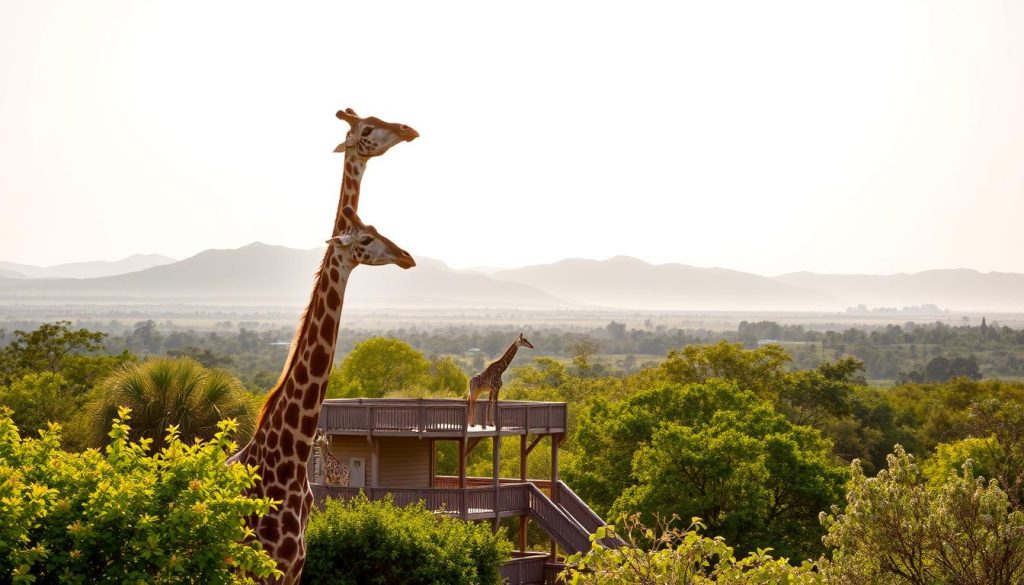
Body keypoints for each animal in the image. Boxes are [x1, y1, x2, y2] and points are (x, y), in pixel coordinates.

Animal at [227, 208, 415, 584]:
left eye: (376, 229)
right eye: (365, 238)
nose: (406, 256)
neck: (291, 461)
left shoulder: (295, 568)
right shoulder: (263, 568)